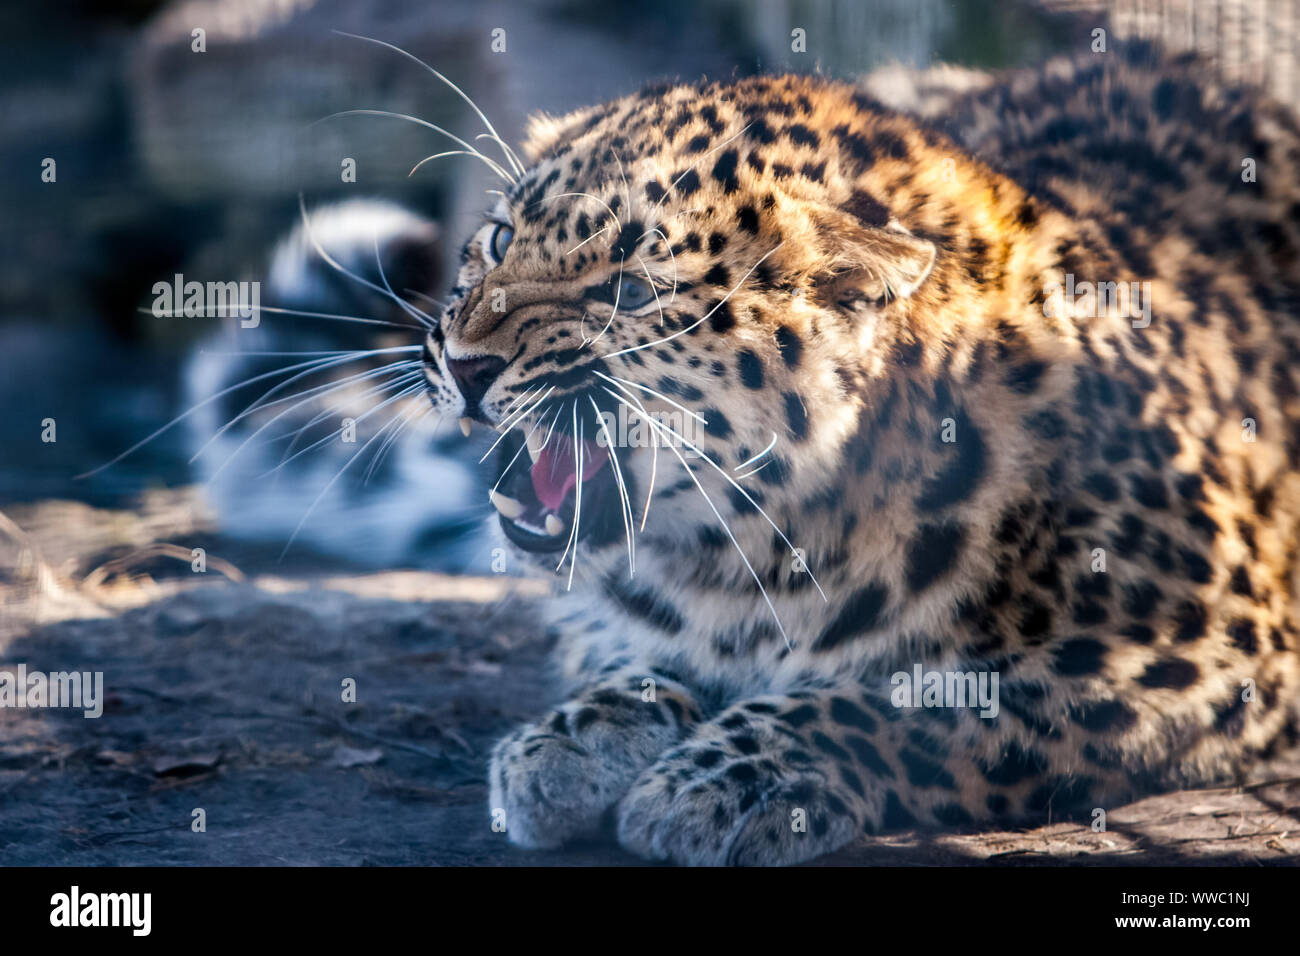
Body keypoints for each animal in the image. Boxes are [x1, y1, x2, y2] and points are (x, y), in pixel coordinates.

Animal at [413, 42, 1300, 868]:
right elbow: (626, 652)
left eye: (633, 293)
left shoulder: (1204, 655)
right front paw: (574, 737)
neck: (748, 564)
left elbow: (914, 702)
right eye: (498, 240)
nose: (462, 364)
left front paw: (737, 775)